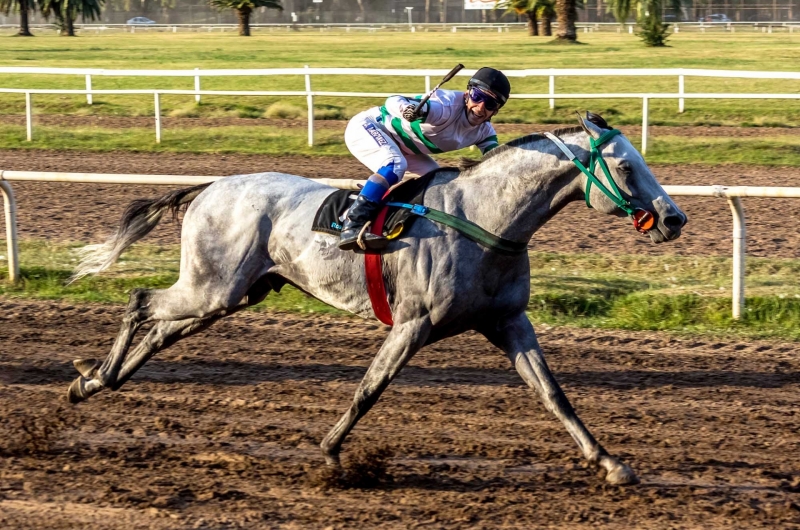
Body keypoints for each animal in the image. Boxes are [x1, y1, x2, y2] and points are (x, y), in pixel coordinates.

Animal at [65, 114, 684, 482]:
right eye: (626, 165)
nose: (674, 219)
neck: (485, 222)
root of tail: (211, 186)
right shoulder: (412, 324)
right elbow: (370, 388)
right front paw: (331, 451)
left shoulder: (509, 321)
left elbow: (555, 395)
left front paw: (611, 463)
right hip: (212, 285)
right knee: (141, 301)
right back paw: (91, 378)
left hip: (229, 293)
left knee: (163, 328)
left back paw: (98, 380)